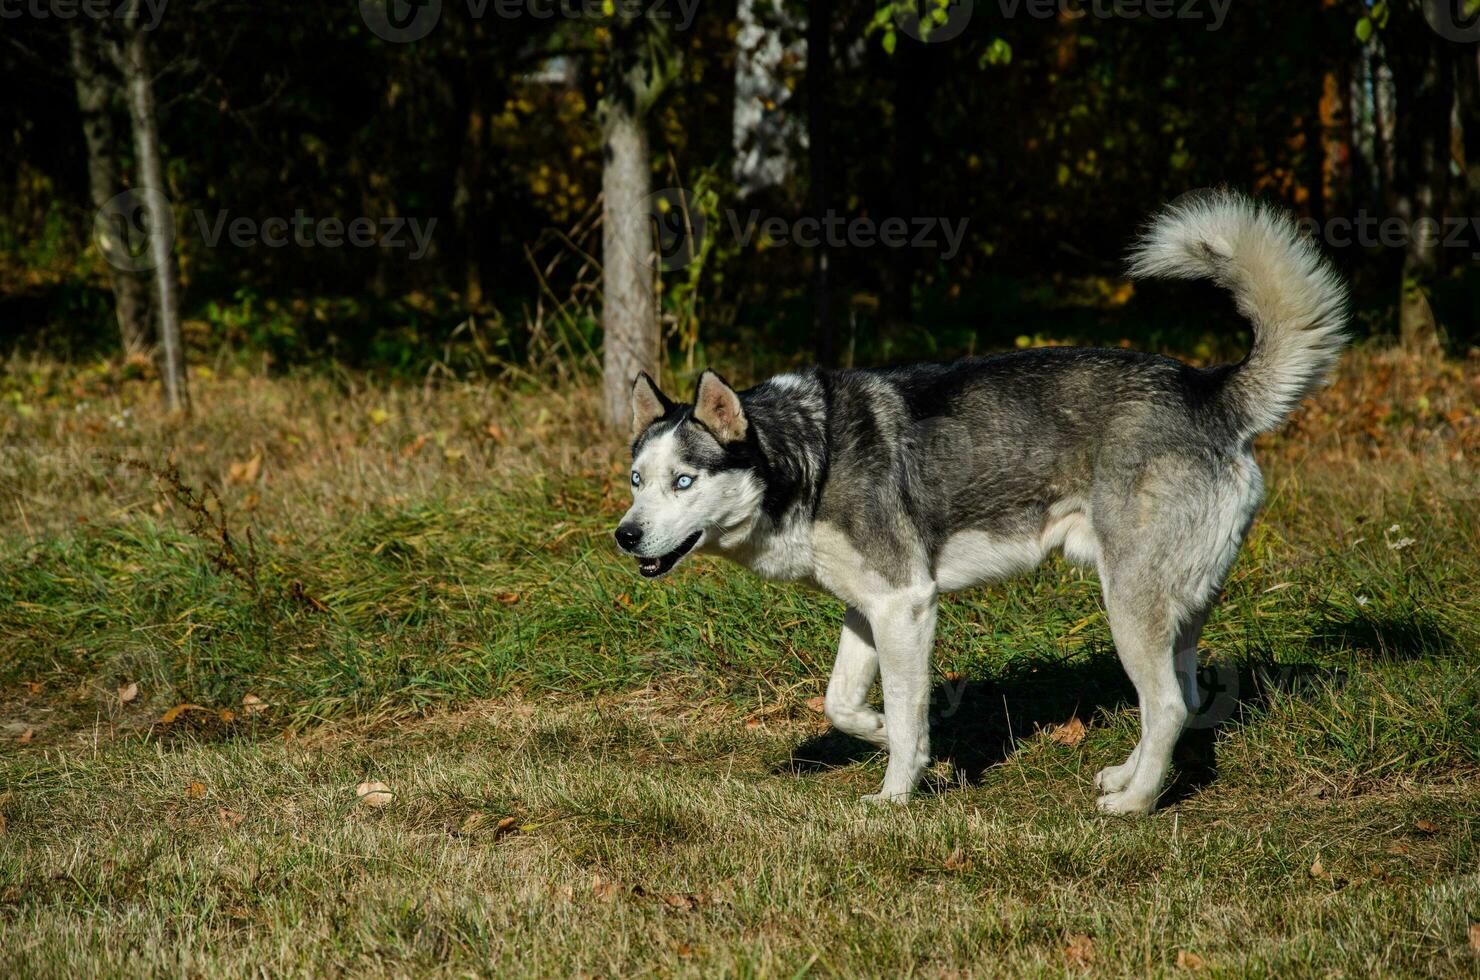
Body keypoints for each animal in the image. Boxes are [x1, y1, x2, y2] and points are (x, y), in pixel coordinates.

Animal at [612, 189, 1343, 811]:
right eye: (637, 480)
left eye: (685, 481)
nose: (624, 536)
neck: (809, 460)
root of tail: (1210, 390)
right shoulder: (869, 609)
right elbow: (843, 705)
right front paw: (883, 735)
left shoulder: (906, 605)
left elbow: (907, 716)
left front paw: (895, 796)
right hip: (1171, 612)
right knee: (1183, 700)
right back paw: (1128, 777)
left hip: (1129, 602)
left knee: (1165, 705)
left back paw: (1133, 804)